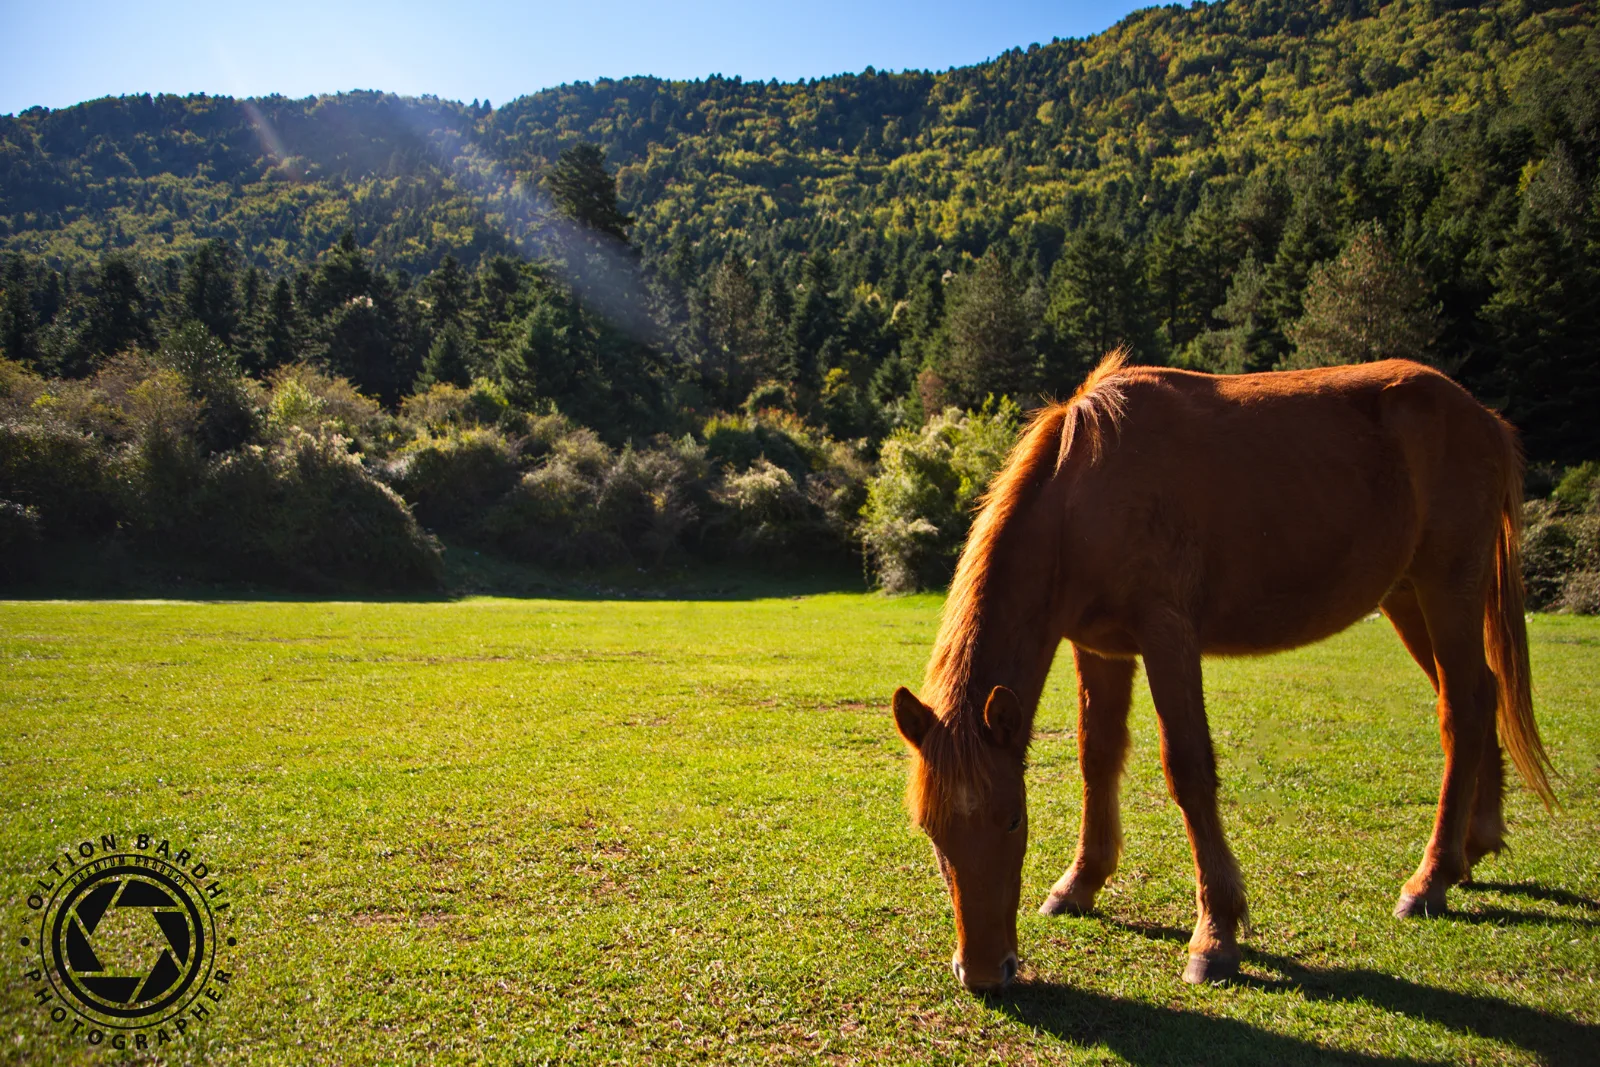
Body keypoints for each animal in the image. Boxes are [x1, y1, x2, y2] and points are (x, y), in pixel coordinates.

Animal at [890, 351, 1556, 992]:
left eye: (1012, 820)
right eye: (932, 832)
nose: (983, 972)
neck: (1084, 494)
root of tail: (1484, 419)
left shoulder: (1167, 635)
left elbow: (1187, 769)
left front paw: (1216, 936)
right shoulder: (1101, 649)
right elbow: (1096, 757)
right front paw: (1080, 883)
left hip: (1449, 590)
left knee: (1462, 710)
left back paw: (1430, 879)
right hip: (1408, 597)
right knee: (1480, 696)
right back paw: (1475, 844)